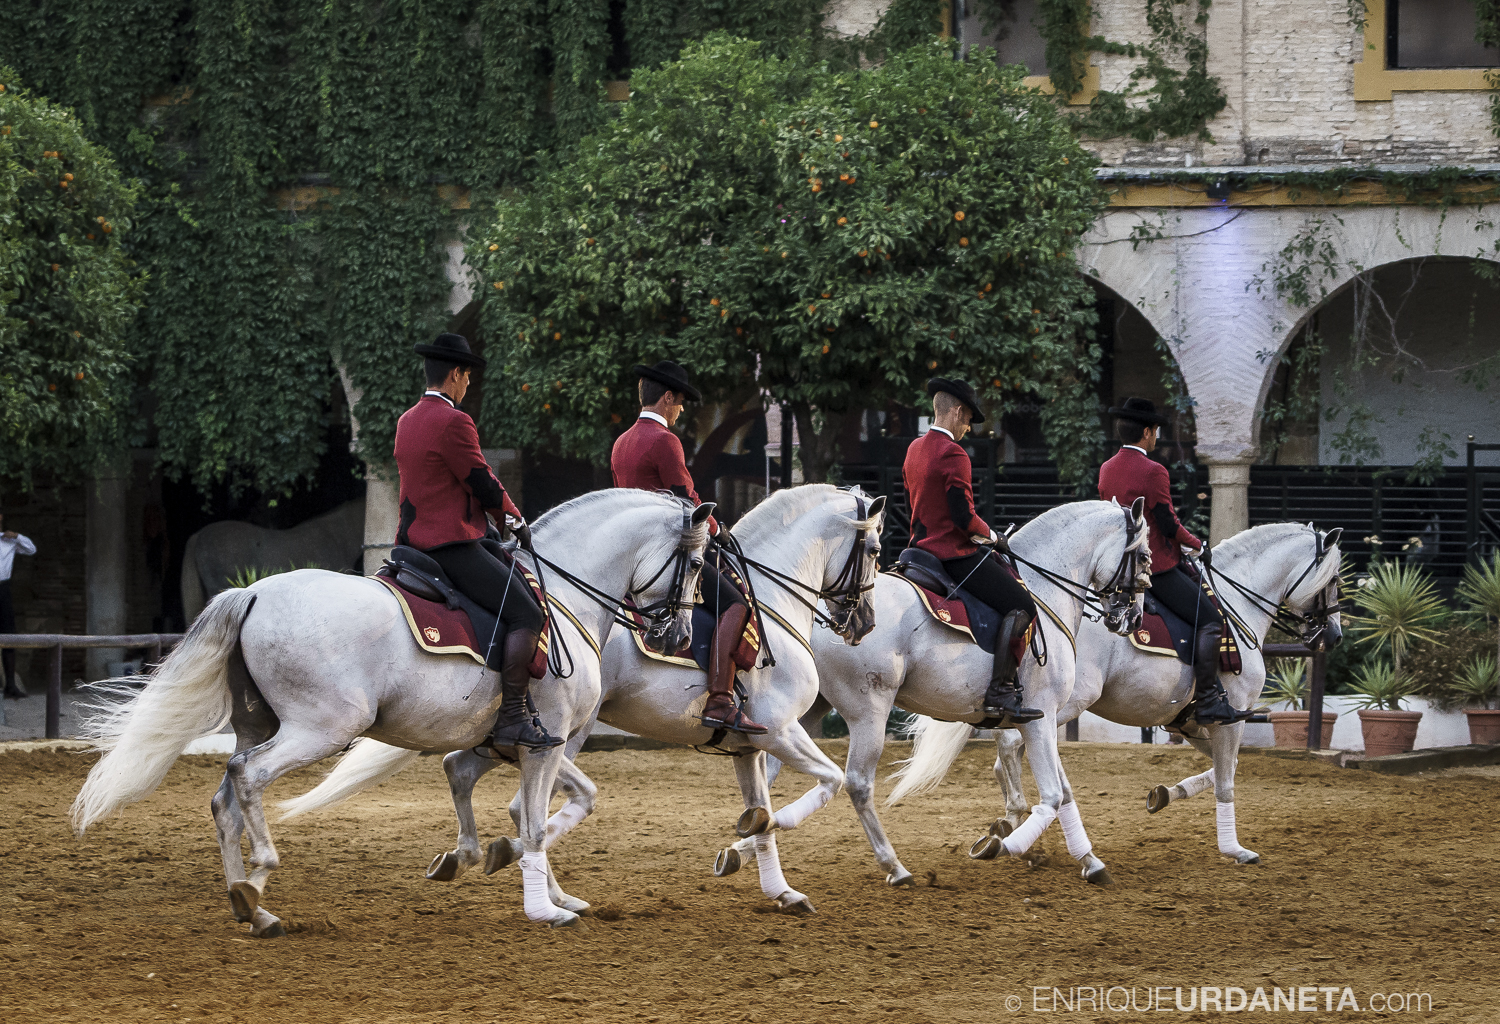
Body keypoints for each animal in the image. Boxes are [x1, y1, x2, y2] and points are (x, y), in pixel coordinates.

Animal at [64, 491, 708, 935]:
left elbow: (501, 797)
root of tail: (255, 591)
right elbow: (531, 821)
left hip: (259, 725)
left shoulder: (513, 742)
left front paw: (489, 865)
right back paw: (261, 874)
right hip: (319, 730)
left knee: (226, 795)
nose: (675, 633)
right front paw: (543, 907)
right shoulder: (545, 741)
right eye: (699, 563)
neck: (562, 594)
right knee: (247, 776)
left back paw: (250, 903)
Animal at [283, 485, 876, 911]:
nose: (864, 622)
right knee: (519, 800)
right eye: (872, 548)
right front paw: (757, 843)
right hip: (573, 727)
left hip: (519, 728)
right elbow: (827, 783)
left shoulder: (748, 744)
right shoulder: (779, 728)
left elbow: (763, 810)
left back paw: (478, 857)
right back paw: (524, 870)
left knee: (465, 769)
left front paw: (777, 885)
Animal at [714, 497, 1146, 887]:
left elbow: (1065, 792)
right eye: (1144, 557)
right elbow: (1054, 795)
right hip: (867, 712)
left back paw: (746, 844)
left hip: (800, 711)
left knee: (772, 776)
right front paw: (1001, 845)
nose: (1132, 617)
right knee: (856, 783)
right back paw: (894, 867)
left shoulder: (1044, 720)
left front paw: (1089, 861)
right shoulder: (1042, 717)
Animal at [990, 524, 1344, 869]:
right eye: (1335, 579)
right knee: (1010, 743)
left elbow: (1225, 768)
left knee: (1008, 753)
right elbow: (1226, 780)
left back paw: (1013, 826)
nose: (1335, 637)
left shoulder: (1192, 725)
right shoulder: (1231, 718)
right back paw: (1018, 820)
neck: (1236, 601)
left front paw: (1165, 794)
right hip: (1060, 705)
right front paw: (1234, 849)